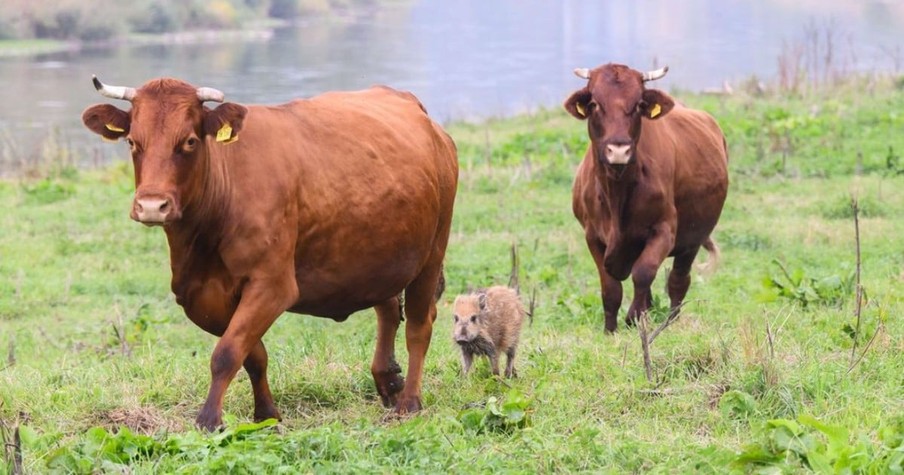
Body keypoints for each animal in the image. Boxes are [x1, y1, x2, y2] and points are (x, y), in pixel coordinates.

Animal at [80, 75, 456, 432]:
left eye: (188, 141)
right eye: (132, 142)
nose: (151, 206)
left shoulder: (272, 284)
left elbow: (227, 352)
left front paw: (209, 419)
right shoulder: (199, 294)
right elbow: (252, 354)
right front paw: (266, 415)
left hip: (432, 252)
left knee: (419, 325)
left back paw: (409, 400)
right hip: (379, 256)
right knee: (389, 307)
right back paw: (387, 379)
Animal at [564, 64, 728, 334]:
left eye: (639, 103)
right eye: (595, 103)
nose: (619, 150)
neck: (616, 194)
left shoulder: (664, 229)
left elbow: (643, 273)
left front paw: (634, 317)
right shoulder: (592, 235)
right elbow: (610, 287)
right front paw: (610, 330)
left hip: (693, 238)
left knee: (678, 280)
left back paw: (669, 321)